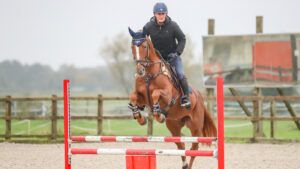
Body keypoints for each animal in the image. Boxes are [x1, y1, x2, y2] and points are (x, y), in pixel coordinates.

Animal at [127, 28, 217, 169]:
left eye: (144, 46)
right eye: (132, 47)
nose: (140, 71)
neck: (149, 74)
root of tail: (200, 97)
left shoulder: (167, 96)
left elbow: (155, 94)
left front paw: (158, 114)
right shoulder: (142, 98)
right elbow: (133, 97)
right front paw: (139, 117)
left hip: (195, 126)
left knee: (194, 148)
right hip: (174, 125)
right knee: (181, 145)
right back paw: (184, 164)